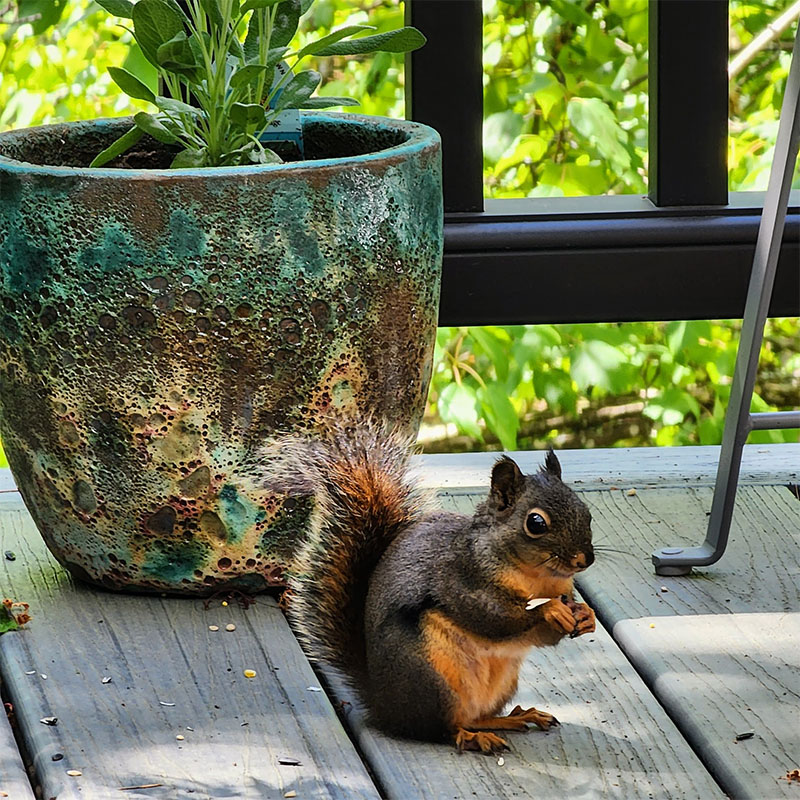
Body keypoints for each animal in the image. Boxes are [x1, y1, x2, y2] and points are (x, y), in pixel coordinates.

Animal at [264, 422, 596, 754]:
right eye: (536, 523)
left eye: (586, 512)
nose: (585, 560)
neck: (537, 577)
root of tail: (385, 707)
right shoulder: (460, 579)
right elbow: (494, 617)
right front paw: (550, 609)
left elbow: (545, 635)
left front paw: (586, 615)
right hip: (431, 678)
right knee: (441, 729)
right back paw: (471, 737)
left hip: (502, 681)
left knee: (474, 717)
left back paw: (513, 718)